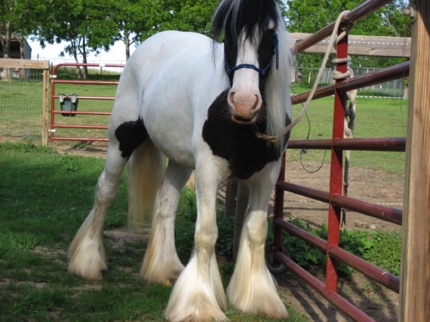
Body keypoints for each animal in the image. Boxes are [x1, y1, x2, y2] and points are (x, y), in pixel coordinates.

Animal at [69, 0, 292, 320]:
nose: (244, 102)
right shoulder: (209, 171)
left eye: (270, 32)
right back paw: (87, 262)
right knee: (105, 192)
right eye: (229, 33)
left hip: (180, 161)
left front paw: (258, 298)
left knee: (165, 203)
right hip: (120, 140)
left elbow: (257, 232)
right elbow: (206, 233)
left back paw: (164, 269)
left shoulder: (266, 176)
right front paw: (198, 304)